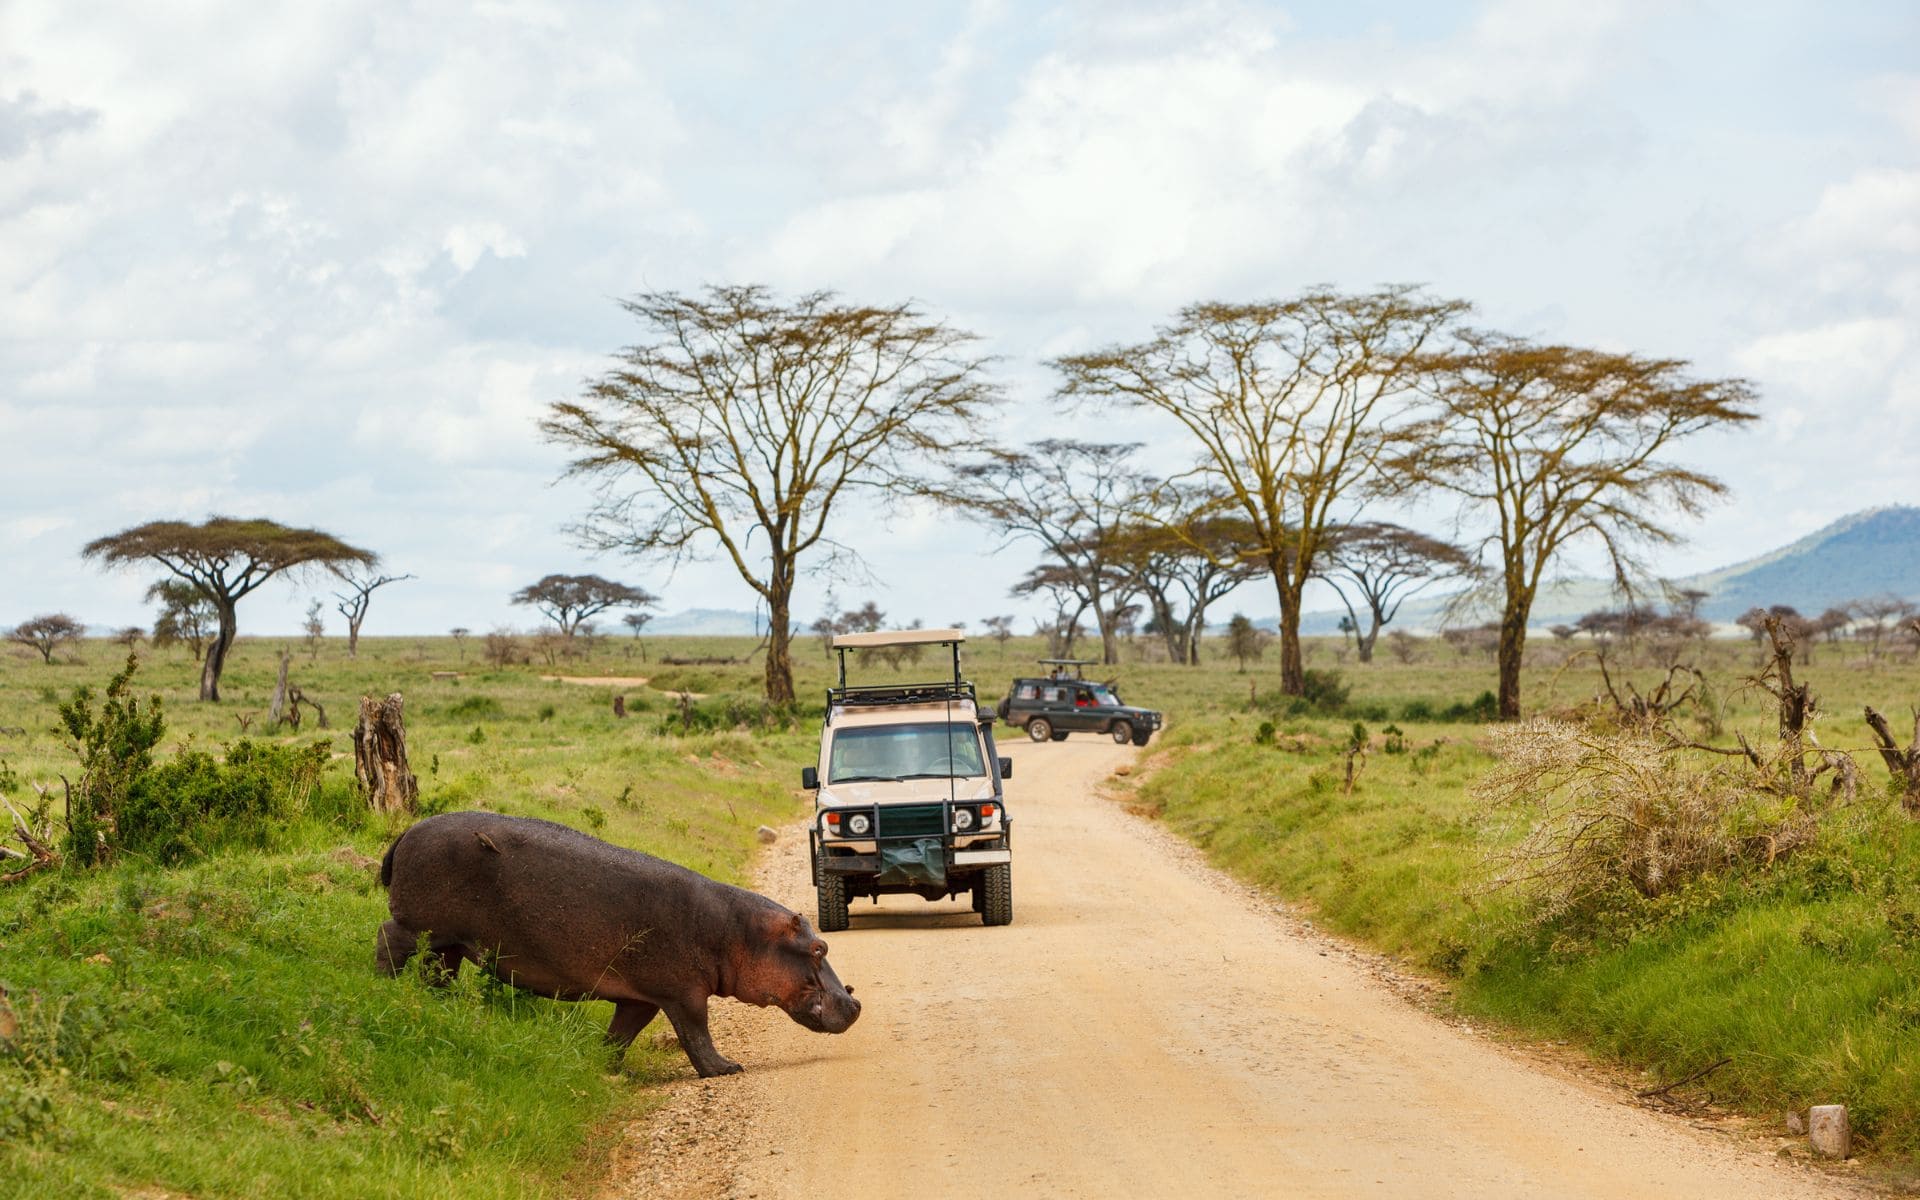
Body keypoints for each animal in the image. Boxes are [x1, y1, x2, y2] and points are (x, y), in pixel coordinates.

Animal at [376, 811, 860, 1077]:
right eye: (819, 950)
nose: (855, 1003)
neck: (739, 932)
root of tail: (404, 832)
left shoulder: (641, 998)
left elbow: (621, 1034)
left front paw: (604, 1068)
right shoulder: (683, 994)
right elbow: (697, 1033)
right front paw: (726, 1068)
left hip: (449, 943)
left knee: (437, 970)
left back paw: (439, 1003)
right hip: (421, 926)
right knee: (388, 939)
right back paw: (383, 986)